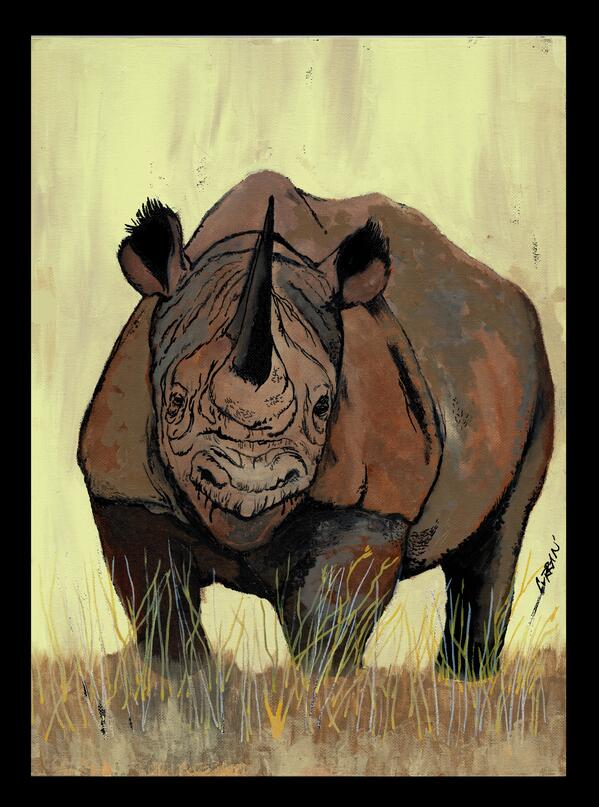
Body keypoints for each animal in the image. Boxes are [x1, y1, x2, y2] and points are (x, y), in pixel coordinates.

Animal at [78, 170, 554, 677]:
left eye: (324, 407)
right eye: (175, 402)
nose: (252, 485)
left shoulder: (371, 501)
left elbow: (331, 616)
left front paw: (323, 687)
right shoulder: (126, 492)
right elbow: (159, 602)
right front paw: (184, 681)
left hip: (533, 365)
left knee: (501, 534)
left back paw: (465, 680)